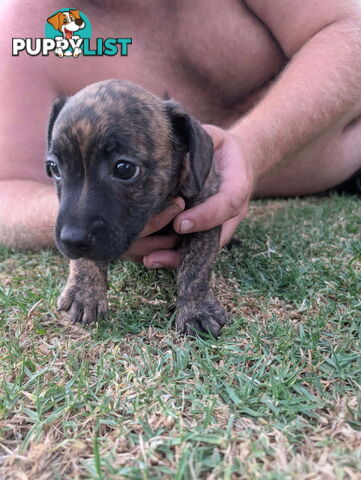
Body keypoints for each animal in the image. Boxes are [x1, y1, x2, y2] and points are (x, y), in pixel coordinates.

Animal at [46, 79, 228, 336]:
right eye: (53, 168)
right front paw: (84, 291)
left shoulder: (203, 216)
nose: (72, 239)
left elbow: (197, 264)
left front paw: (196, 308)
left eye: (125, 169)